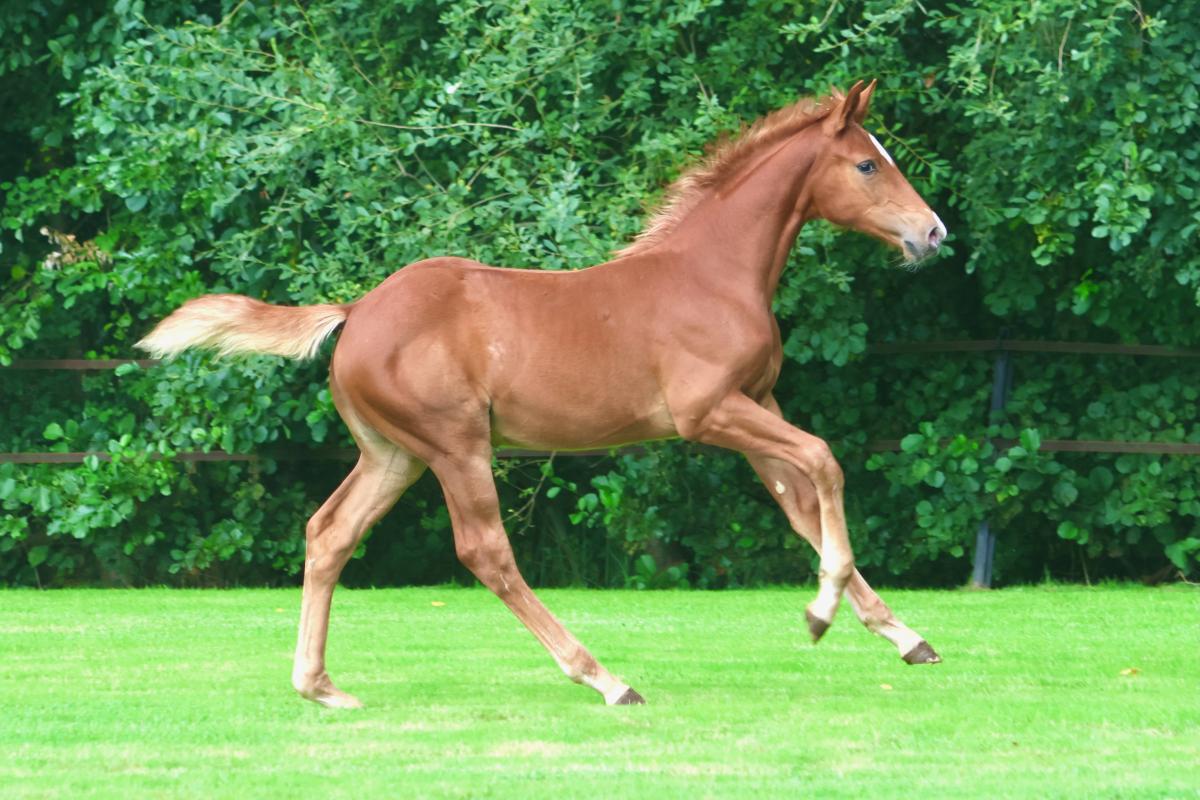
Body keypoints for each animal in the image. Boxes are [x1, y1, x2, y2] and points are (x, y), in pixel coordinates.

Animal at [137, 80, 947, 708]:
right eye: (867, 163)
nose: (934, 234)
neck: (712, 273)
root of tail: (356, 311)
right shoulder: (710, 413)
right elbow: (825, 462)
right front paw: (820, 613)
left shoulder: (759, 405)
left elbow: (802, 502)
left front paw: (903, 635)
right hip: (456, 446)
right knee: (485, 552)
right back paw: (604, 678)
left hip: (394, 455)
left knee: (330, 533)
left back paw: (320, 686)